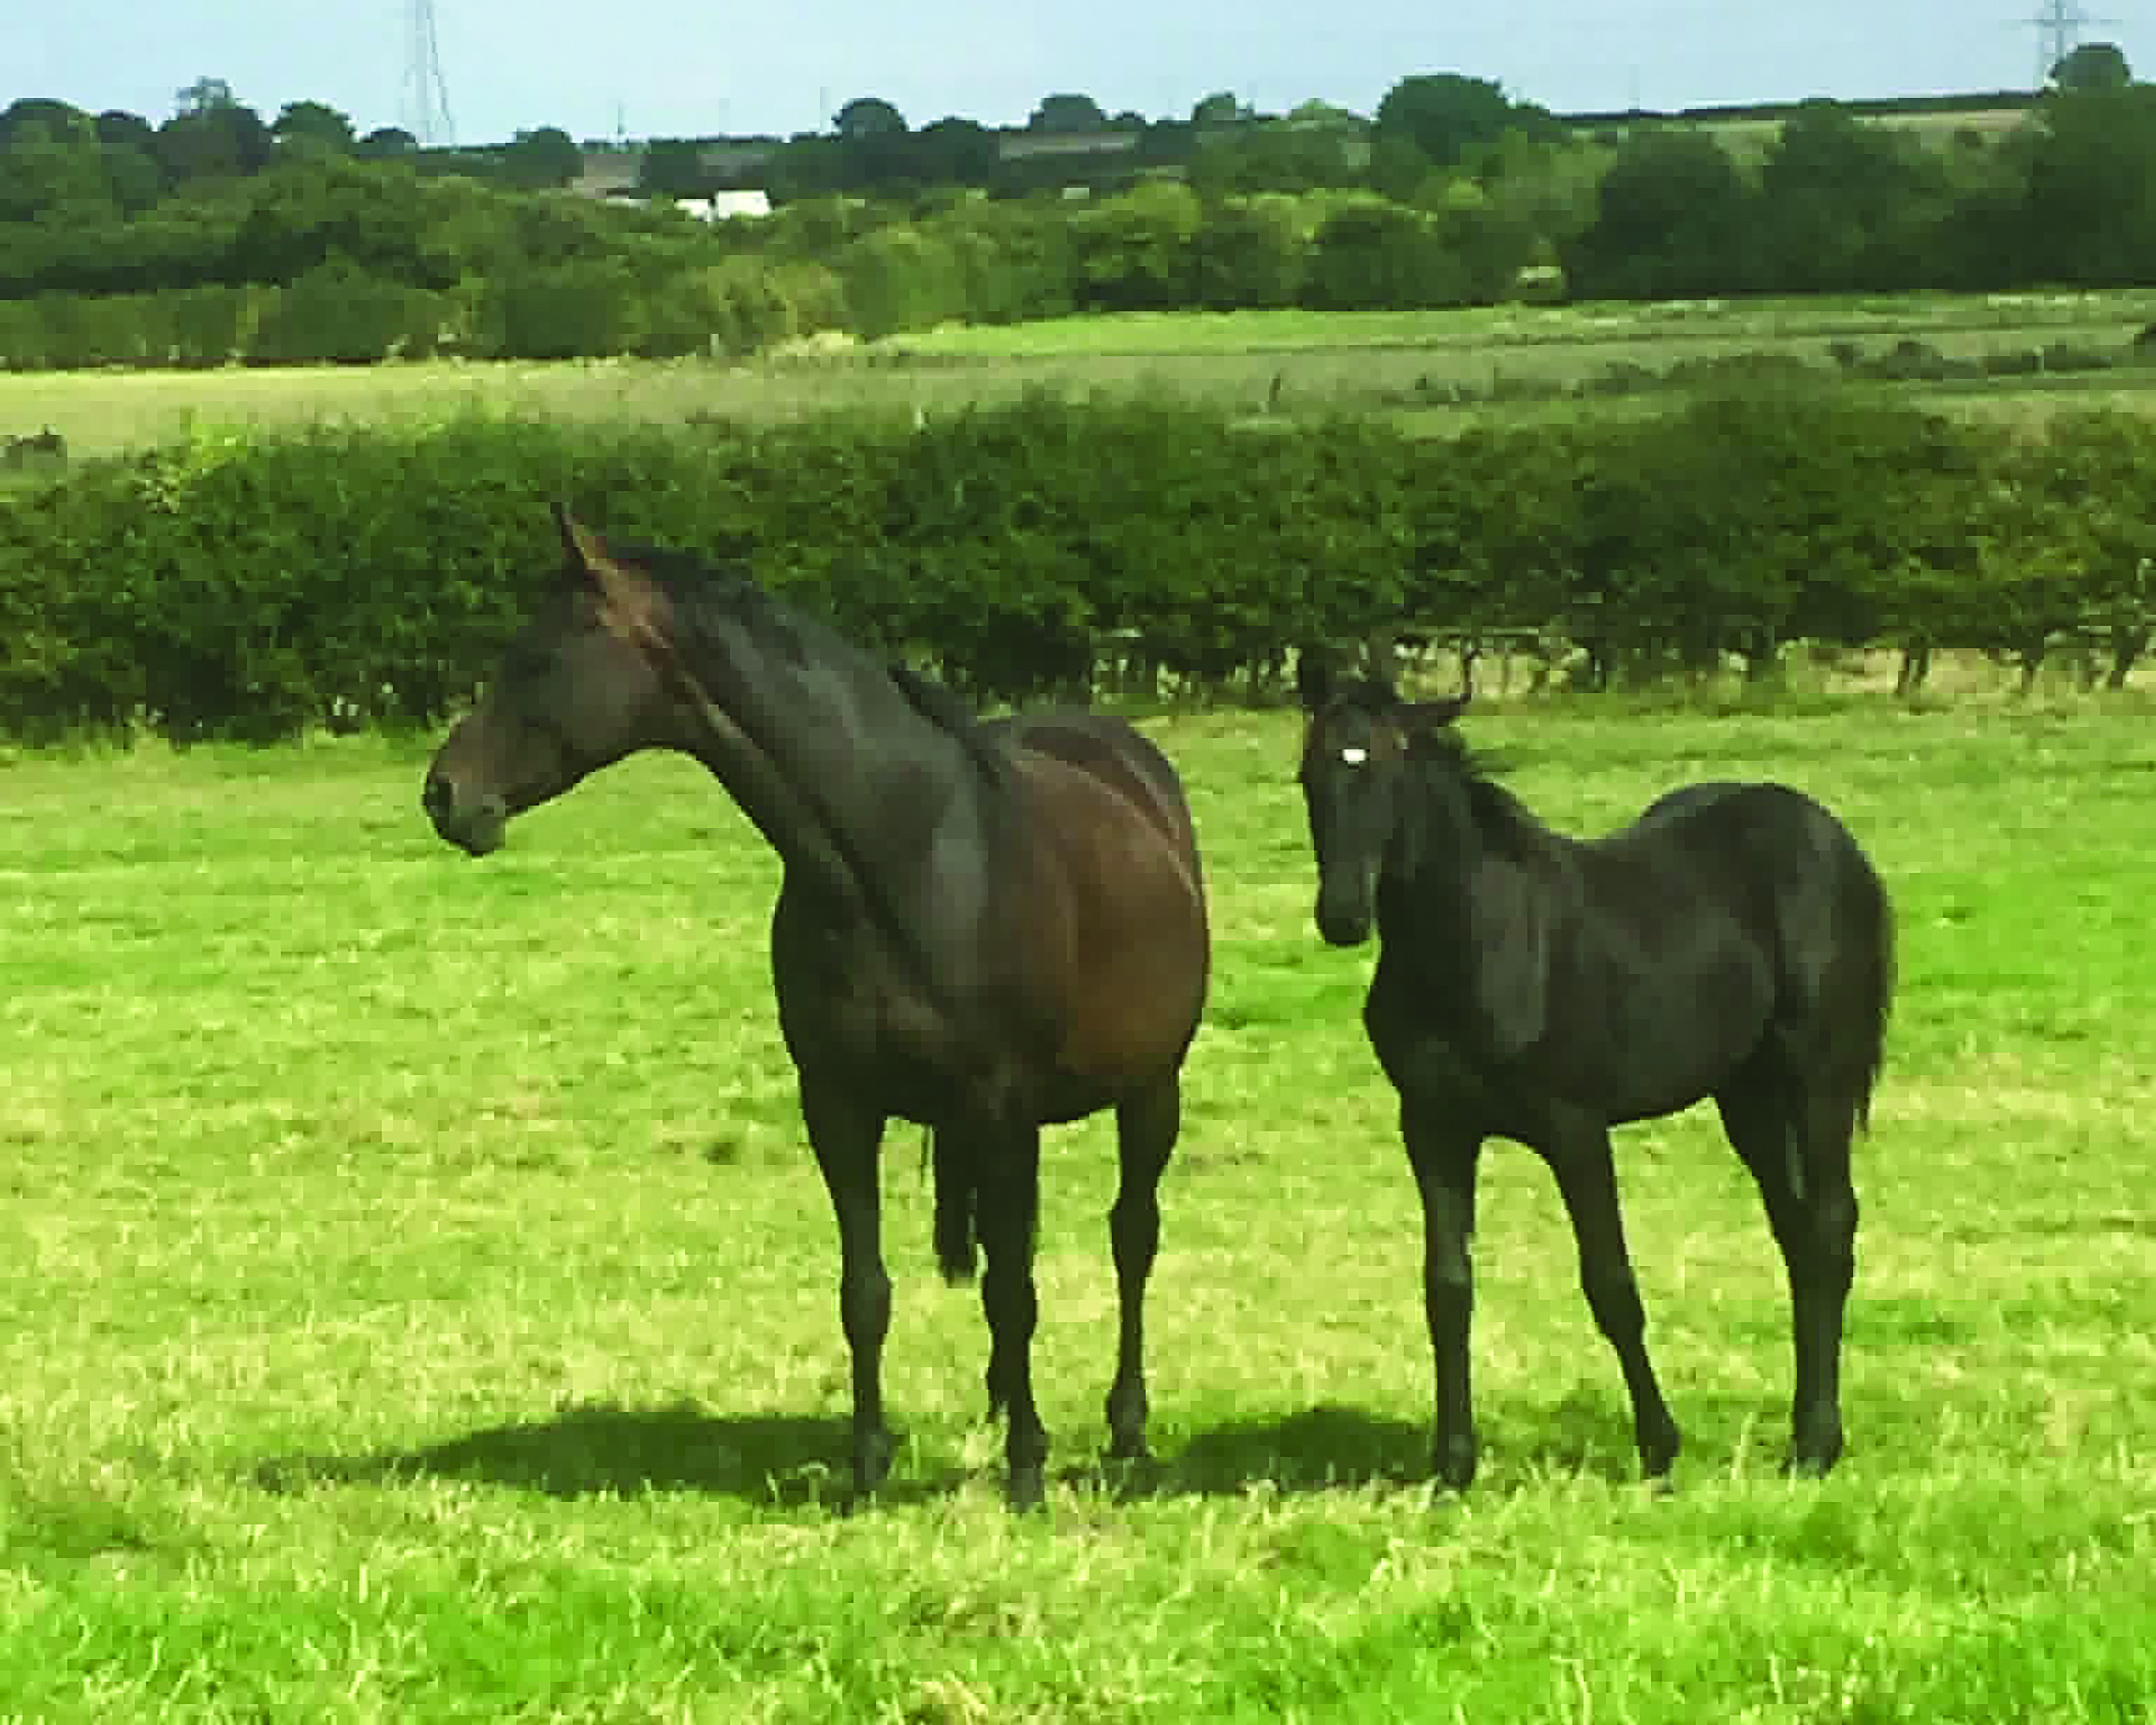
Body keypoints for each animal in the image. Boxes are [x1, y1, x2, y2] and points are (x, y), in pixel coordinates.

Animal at [422, 508, 1210, 1510]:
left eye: (542, 654)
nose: (445, 795)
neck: (908, 853)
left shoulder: (1001, 1107)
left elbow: (1016, 1289)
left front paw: (1027, 1469)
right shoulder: (839, 1103)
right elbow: (866, 1290)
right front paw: (867, 1464)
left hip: (1151, 1089)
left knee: (1129, 1238)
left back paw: (1123, 1423)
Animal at [1293, 653, 1892, 1490]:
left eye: (1389, 766)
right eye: (1309, 774)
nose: (1343, 917)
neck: (1475, 944)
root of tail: (1831, 839)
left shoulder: (1574, 1128)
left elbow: (1610, 1284)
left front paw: (1660, 1448)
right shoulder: (1434, 1127)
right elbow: (1447, 1288)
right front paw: (1452, 1467)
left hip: (1817, 1079)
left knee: (1831, 1226)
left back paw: (1813, 1445)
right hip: (1746, 1095)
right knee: (1798, 1231)